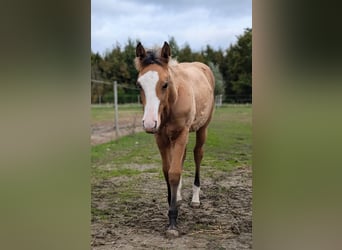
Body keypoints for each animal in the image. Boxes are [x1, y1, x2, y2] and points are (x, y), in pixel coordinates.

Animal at [135, 41, 215, 236]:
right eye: (139, 85)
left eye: (165, 84)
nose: (149, 123)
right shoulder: (161, 137)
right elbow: (167, 171)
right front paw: (171, 204)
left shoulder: (182, 133)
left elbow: (174, 173)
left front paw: (172, 222)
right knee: (183, 158)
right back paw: (177, 196)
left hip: (202, 128)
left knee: (197, 154)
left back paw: (195, 198)